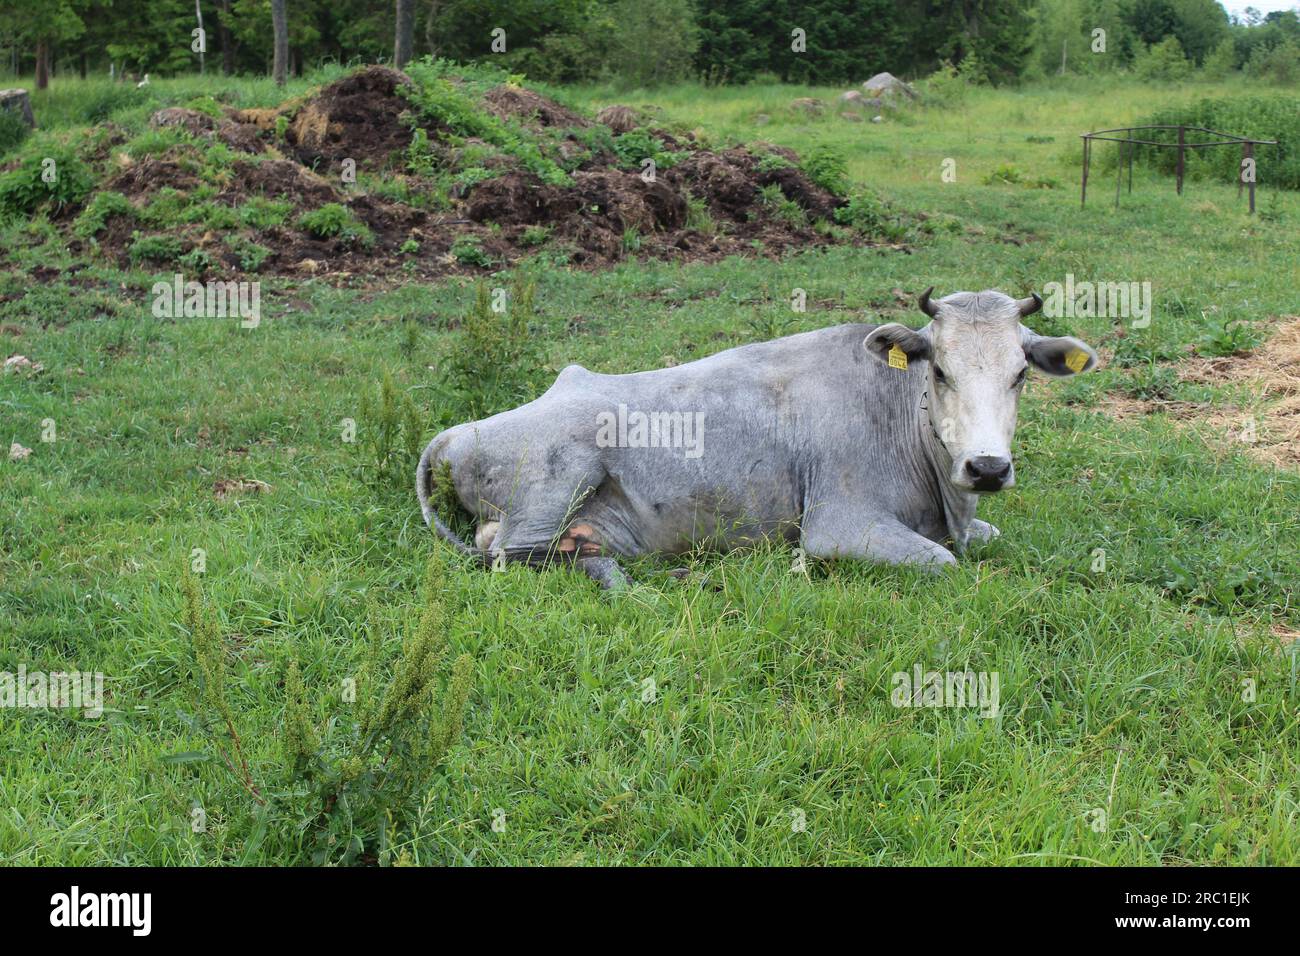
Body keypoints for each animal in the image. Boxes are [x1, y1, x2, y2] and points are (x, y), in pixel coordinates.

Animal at [416, 290, 1097, 590]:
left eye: (1020, 374)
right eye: (940, 372)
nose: (987, 468)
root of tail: (458, 433)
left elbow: (989, 536)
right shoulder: (838, 524)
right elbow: (945, 562)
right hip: (558, 482)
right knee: (505, 552)